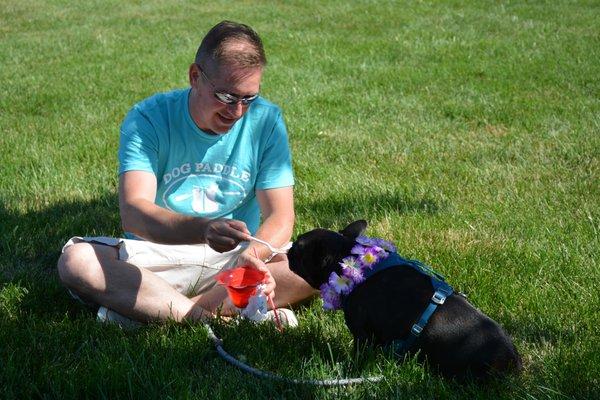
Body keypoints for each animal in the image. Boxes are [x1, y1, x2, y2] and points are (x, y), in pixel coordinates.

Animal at [286, 220, 520, 380]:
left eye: (298, 249)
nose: (288, 250)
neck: (347, 259)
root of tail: (513, 360)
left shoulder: (362, 333)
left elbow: (359, 354)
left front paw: (351, 369)